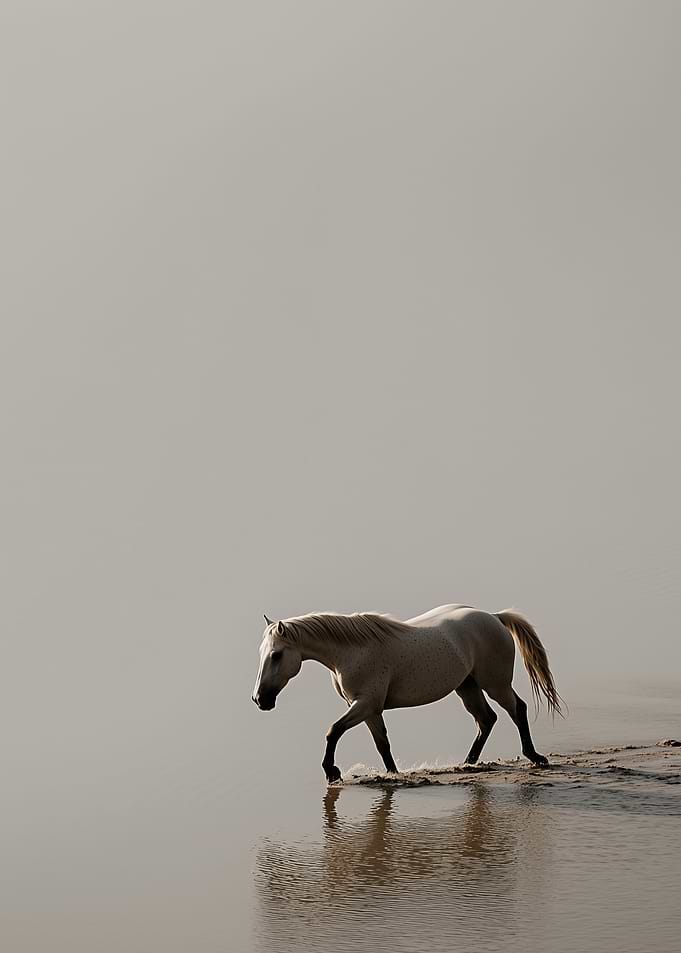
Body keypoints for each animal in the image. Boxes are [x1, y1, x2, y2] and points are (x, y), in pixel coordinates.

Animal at [251, 604, 564, 783]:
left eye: (277, 655)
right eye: (262, 653)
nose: (260, 699)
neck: (350, 650)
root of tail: (495, 618)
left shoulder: (364, 705)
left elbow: (333, 730)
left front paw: (331, 772)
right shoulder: (370, 710)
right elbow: (382, 744)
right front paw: (393, 775)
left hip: (495, 683)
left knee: (517, 709)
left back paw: (534, 756)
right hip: (467, 686)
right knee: (486, 719)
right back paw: (467, 763)